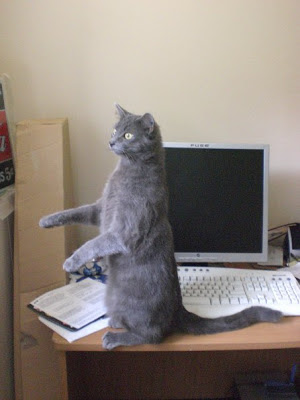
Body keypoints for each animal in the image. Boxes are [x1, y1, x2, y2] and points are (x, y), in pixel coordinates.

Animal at [39, 104, 282, 350]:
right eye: (114, 130)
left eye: (128, 135)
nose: (111, 141)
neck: (126, 169)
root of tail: (178, 310)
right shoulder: (100, 209)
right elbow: (77, 212)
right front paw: (47, 221)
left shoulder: (124, 231)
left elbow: (94, 243)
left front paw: (71, 261)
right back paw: (116, 322)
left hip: (129, 303)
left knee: (152, 335)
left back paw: (115, 337)